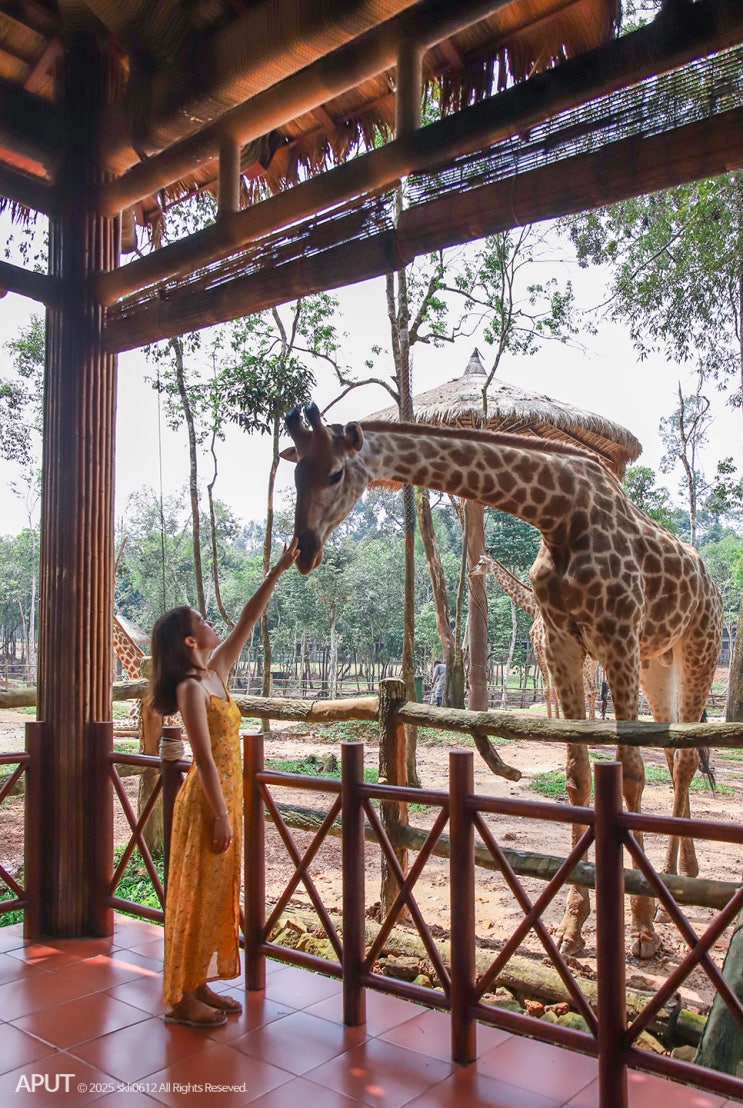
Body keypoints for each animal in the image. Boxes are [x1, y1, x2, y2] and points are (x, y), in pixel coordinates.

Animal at [469, 553, 599, 720]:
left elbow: (549, 690)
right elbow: (556, 690)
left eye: (480, 563)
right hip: (593, 662)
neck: (533, 608)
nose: (470, 572)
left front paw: (552, 720)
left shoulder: (539, 652)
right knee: (592, 691)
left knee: (589, 691)